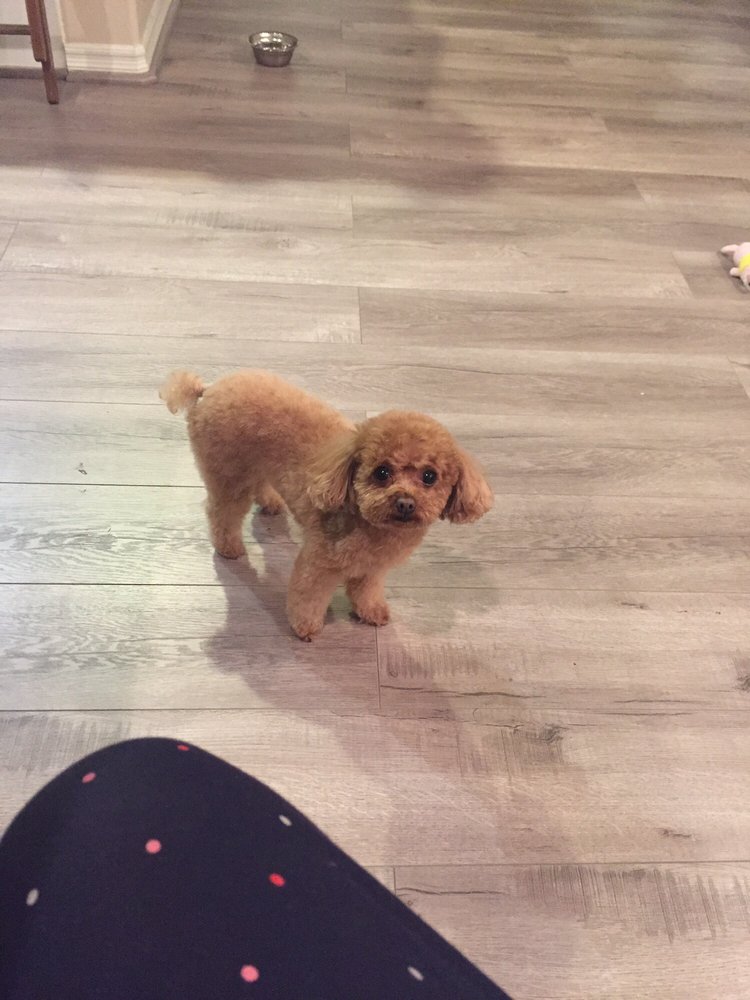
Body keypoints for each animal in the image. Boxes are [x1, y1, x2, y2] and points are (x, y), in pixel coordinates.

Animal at [160, 370, 493, 640]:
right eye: (381, 472)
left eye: (429, 477)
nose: (405, 503)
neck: (369, 525)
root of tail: (206, 390)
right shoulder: (318, 563)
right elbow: (308, 597)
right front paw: (305, 628)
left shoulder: (373, 569)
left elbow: (366, 591)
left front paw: (371, 612)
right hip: (228, 474)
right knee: (222, 512)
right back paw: (229, 547)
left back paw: (271, 501)